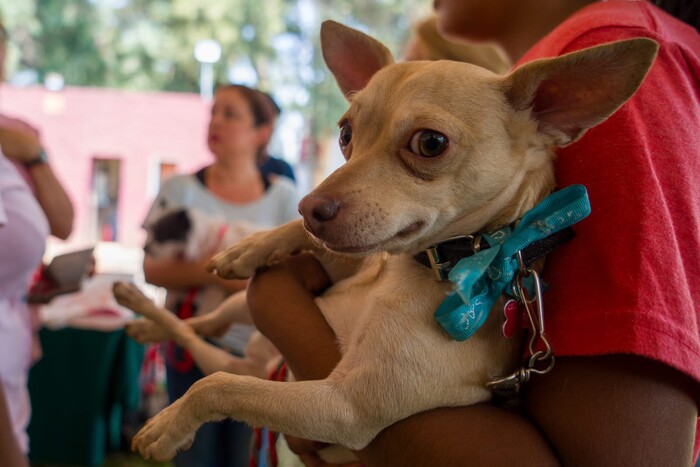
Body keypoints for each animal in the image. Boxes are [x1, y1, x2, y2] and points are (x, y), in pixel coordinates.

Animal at [130, 21, 656, 460]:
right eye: (345, 134)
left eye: (430, 144)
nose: (308, 208)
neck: (414, 266)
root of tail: (261, 360)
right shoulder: (347, 256)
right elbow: (312, 247)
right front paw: (251, 246)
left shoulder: (341, 407)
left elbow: (220, 387)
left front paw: (169, 424)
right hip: (240, 308)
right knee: (201, 325)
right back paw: (140, 310)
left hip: (262, 363)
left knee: (215, 358)